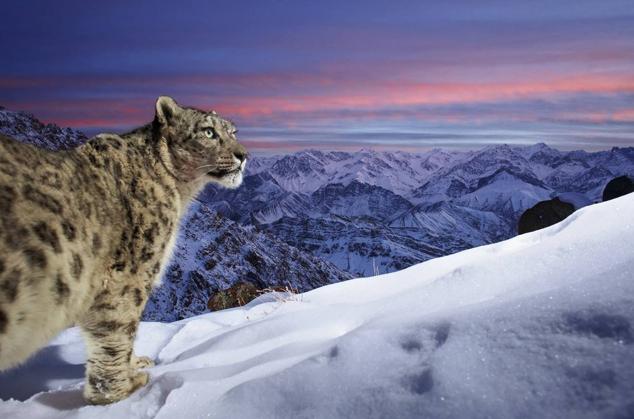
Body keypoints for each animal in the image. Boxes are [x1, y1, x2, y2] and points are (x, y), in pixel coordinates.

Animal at [0, 97, 246, 406]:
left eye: (233, 131)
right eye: (209, 132)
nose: (243, 155)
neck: (180, 193)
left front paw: (135, 365)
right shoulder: (130, 274)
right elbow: (118, 329)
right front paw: (120, 390)